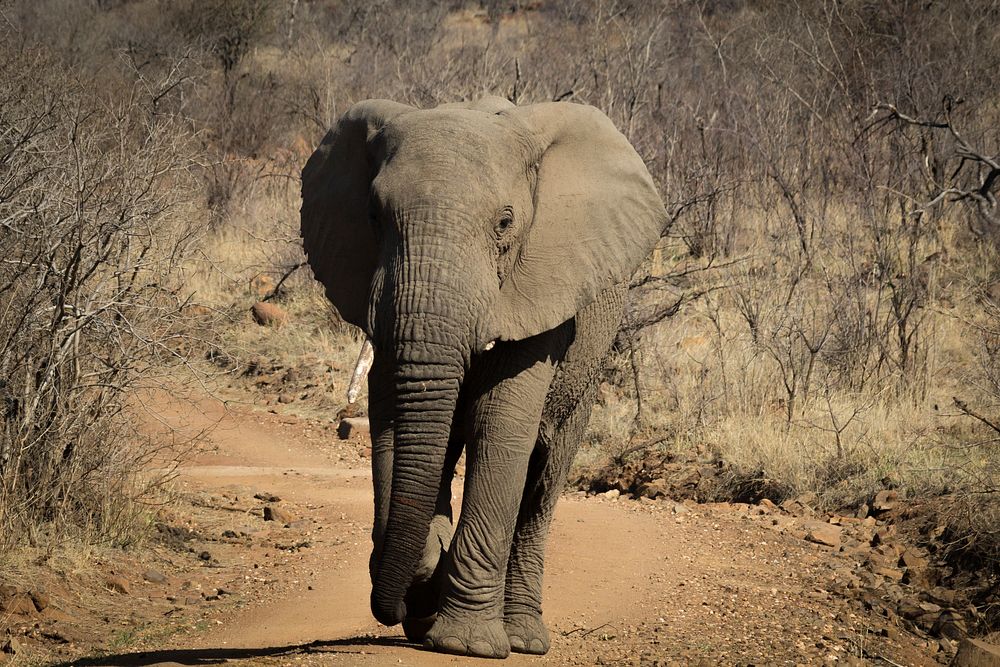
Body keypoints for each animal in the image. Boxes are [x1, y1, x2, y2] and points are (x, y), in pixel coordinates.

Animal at [300, 96, 668, 660]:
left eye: (505, 223)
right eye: (374, 216)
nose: (394, 608)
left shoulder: (539, 289)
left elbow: (502, 425)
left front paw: (465, 643)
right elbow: (390, 421)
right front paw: (427, 580)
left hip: (588, 366)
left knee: (542, 482)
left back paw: (522, 638)